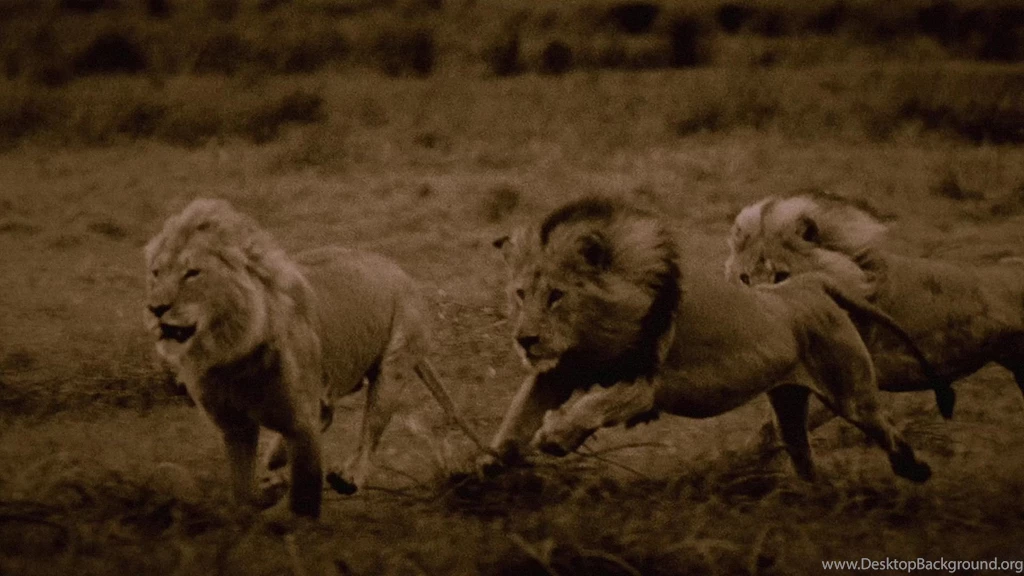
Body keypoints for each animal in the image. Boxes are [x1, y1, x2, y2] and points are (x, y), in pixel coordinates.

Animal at [144, 198, 487, 519]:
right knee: (327, 415)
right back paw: (276, 461)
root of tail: (402, 273)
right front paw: (265, 492)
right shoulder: (235, 426)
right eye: (156, 274)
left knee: (370, 432)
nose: (155, 308)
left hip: (393, 366)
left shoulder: (300, 423)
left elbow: (304, 495)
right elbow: (243, 491)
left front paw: (297, 521)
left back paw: (347, 477)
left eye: (192, 273)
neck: (230, 355)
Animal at [486, 197, 943, 483]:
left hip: (851, 393)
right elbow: (515, 417)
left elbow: (590, 406)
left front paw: (555, 436)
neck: (593, 332)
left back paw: (914, 469)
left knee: (885, 428)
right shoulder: (557, 372)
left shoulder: (642, 386)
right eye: (521, 293)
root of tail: (810, 283)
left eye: (556, 295)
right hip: (789, 404)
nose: (525, 339)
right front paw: (486, 467)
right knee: (802, 454)